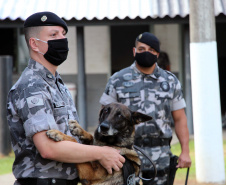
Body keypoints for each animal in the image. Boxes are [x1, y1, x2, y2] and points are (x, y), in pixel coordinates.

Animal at [100, 32, 192, 184]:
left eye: (151, 49)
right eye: (141, 48)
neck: (145, 71)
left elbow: (179, 117)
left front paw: (185, 158)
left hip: (159, 172)